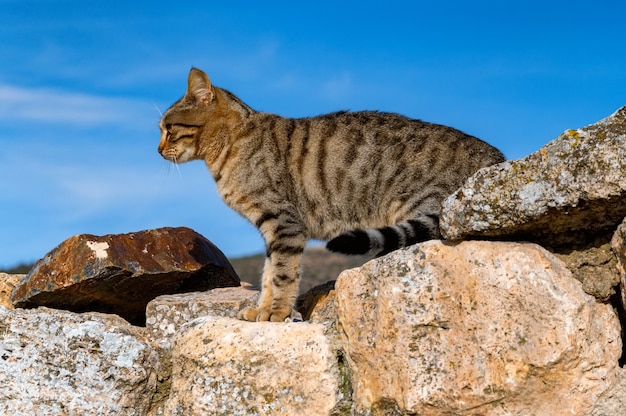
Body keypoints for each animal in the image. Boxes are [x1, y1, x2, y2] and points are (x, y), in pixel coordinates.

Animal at [158, 67, 504, 322]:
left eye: (168, 128)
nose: (158, 150)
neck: (229, 146)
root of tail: (497, 158)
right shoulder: (271, 229)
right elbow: (269, 273)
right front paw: (262, 309)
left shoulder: (284, 222)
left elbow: (282, 273)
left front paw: (277, 313)